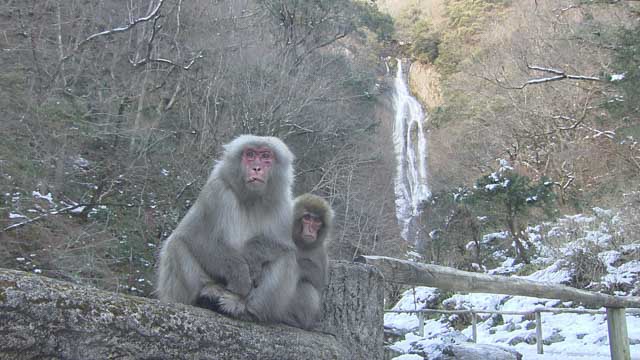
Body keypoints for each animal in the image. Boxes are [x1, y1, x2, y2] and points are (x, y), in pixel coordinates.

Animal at [155, 134, 298, 318]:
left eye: (266, 156)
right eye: (250, 154)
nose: (256, 168)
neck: (251, 199)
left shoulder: (284, 203)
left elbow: (284, 244)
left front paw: (252, 256)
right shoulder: (216, 192)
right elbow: (197, 238)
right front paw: (241, 277)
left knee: (288, 257)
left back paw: (245, 308)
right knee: (176, 242)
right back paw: (209, 293)